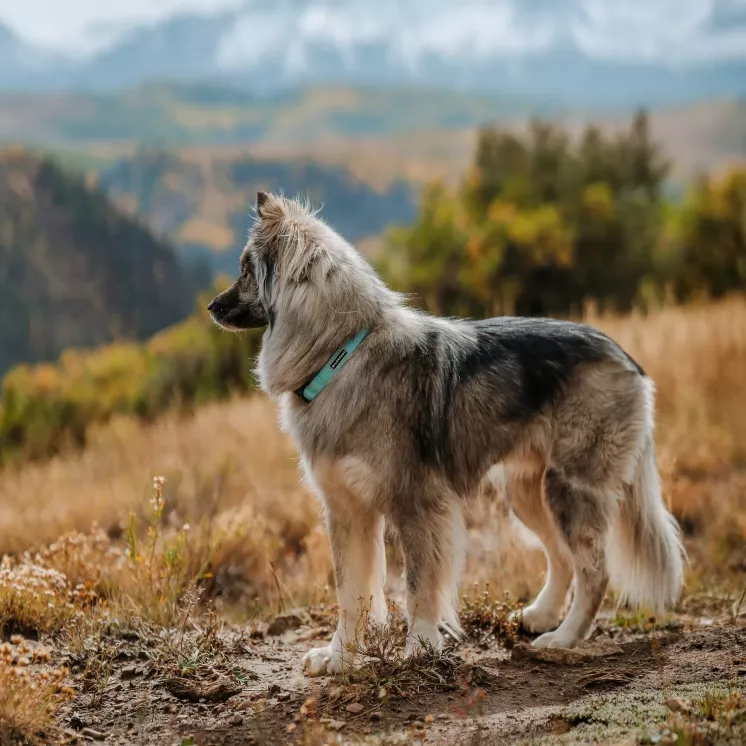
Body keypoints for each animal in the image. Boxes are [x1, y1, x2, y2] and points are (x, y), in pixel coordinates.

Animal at [206, 190, 684, 676]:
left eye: (246, 270)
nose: (211, 307)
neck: (340, 353)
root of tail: (625, 357)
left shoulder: (416, 504)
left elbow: (419, 586)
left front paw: (419, 647)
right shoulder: (347, 511)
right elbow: (350, 593)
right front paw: (339, 657)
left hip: (570, 488)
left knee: (594, 570)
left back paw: (564, 637)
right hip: (526, 491)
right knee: (562, 557)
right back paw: (541, 615)